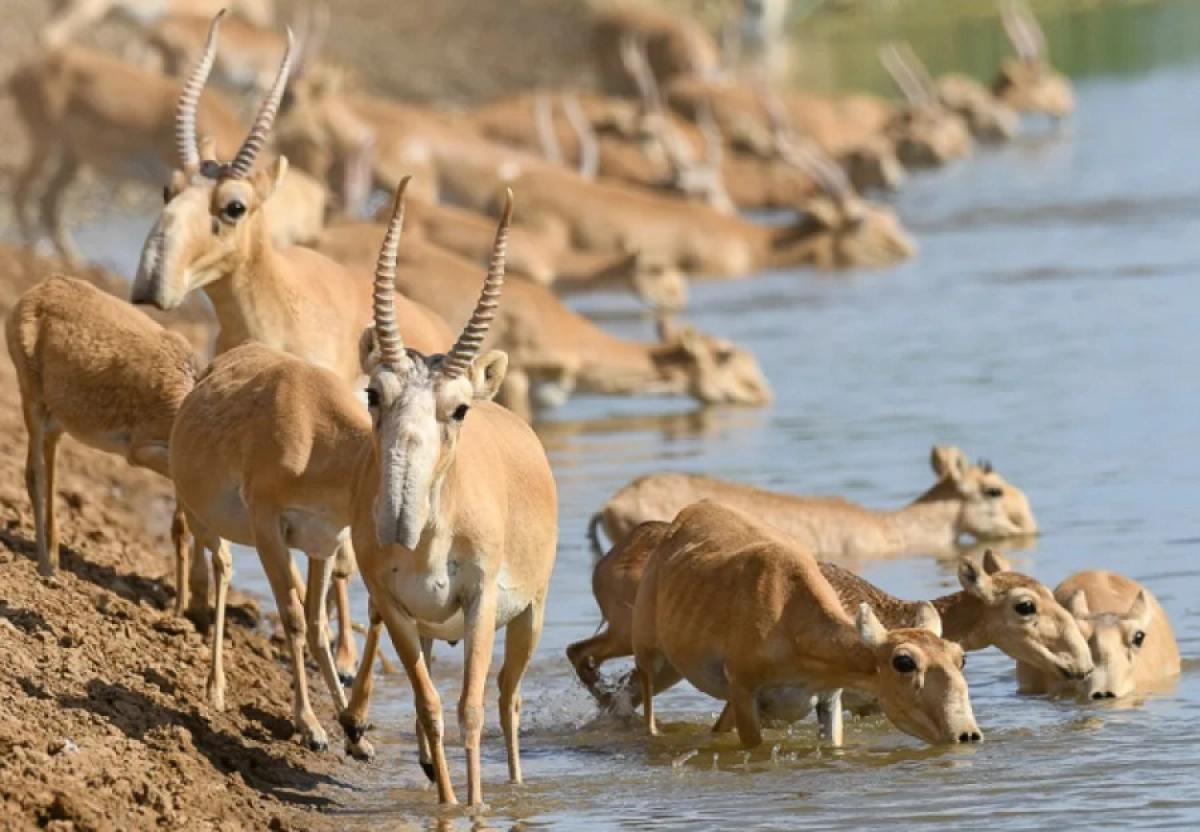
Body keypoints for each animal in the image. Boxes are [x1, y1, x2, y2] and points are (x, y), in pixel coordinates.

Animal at [7, 276, 200, 607]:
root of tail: (40, 289)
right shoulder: (141, 451)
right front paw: (182, 607)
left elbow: (182, 523)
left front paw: (181, 607)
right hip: (31, 398)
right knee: (33, 473)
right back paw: (45, 566)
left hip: (58, 415)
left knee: (50, 458)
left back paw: (54, 558)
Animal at [336, 181, 559, 806]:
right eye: (374, 394)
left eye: (457, 408)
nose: (396, 520)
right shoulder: (394, 605)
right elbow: (431, 705)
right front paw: (449, 803)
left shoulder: (480, 601)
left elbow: (471, 709)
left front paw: (478, 805)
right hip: (429, 626)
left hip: (530, 616)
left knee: (508, 698)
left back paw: (514, 784)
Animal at [628, 499, 984, 744]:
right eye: (904, 661)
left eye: (960, 658)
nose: (967, 734)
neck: (788, 621)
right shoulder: (743, 693)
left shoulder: (829, 698)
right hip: (647, 649)